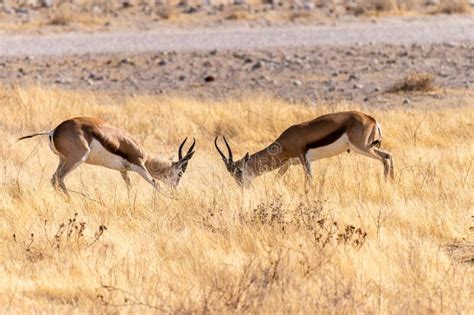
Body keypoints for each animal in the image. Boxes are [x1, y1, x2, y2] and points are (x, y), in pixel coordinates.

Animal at [17, 118, 194, 198]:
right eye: (180, 173)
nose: (176, 189)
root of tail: (53, 131)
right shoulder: (139, 165)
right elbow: (155, 183)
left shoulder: (123, 171)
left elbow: (129, 187)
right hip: (77, 159)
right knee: (59, 178)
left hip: (63, 160)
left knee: (54, 178)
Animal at [215, 111, 392, 188]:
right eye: (231, 174)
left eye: (239, 171)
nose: (242, 187)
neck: (285, 141)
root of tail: (371, 118)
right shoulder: (287, 164)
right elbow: (276, 180)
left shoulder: (304, 159)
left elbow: (310, 181)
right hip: (366, 148)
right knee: (389, 156)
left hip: (363, 148)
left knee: (385, 158)